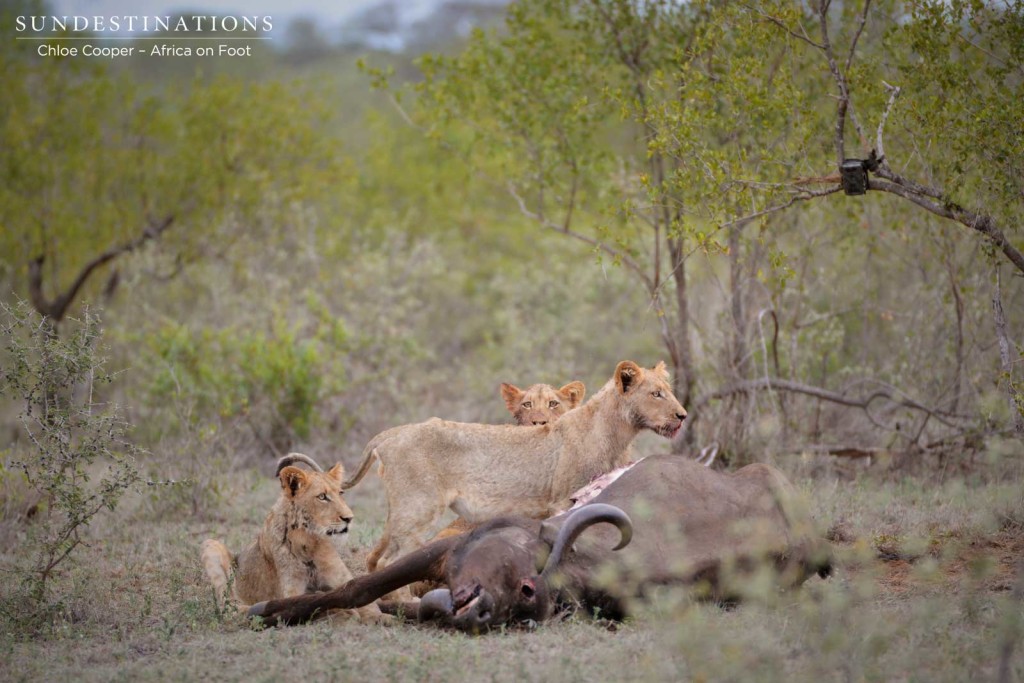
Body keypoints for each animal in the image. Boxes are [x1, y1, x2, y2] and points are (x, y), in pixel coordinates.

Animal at [200, 454, 387, 626]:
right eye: (322, 497)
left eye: (341, 493)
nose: (349, 518)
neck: (309, 541)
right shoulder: (291, 592)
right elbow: (314, 606)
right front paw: (346, 614)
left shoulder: (343, 580)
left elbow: (369, 605)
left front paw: (382, 617)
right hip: (210, 544)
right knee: (227, 606)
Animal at [344, 360, 688, 573]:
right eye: (657, 394)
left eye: (668, 391)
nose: (683, 415)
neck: (615, 432)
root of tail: (391, 433)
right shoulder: (564, 499)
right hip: (418, 508)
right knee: (389, 562)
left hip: (401, 512)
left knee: (376, 559)